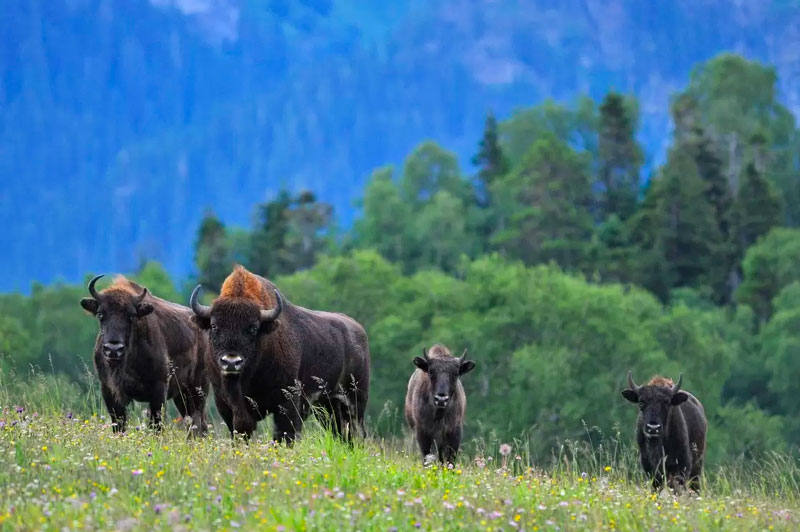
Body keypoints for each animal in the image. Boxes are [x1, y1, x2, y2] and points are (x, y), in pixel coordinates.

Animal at [80, 276, 211, 434]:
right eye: (100, 314)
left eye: (131, 315)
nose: (113, 349)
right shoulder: (109, 390)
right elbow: (119, 424)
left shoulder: (159, 389)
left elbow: (156, 424)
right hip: (182, 395)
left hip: (198, 388)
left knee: (198, 422)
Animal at [190, 264, 372, 442]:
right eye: (214, 326)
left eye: (253, 328)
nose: (231, 362)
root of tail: (358, 329)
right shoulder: (225, 404)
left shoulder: (287, 403)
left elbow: (284, 435)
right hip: (326, 404)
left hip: (355, 400)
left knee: (356, 432)